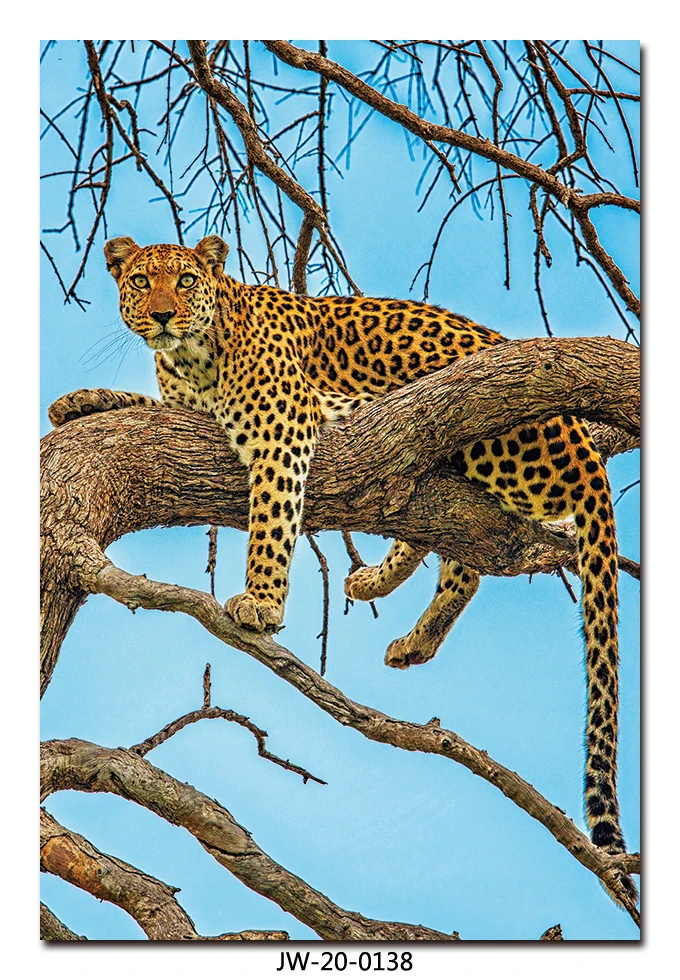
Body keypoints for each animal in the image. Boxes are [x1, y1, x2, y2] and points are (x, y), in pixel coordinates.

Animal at [48, 235, 634, 897]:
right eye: (142, 282)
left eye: (186, 279)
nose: (165, 315)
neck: (193, 358)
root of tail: (583, 448)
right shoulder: (182, 413)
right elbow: (140, 405)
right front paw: (79, 402)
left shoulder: (282, 428)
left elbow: (271, 517)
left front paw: (261, 601)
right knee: (449, 535)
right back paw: (399, 617)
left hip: (492, 447)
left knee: (468, 534)